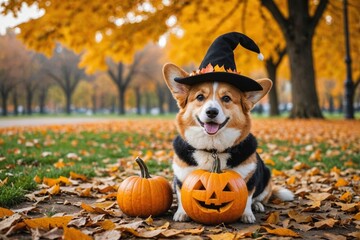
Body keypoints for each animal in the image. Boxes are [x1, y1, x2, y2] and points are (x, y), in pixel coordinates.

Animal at [163, 63, 292, 223]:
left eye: (226, 98)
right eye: (200, 97)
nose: (212, 111)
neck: (213, 149)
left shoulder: (249, 179)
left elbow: (248, 197)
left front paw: (247, 214)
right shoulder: (181, 177)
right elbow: (181, 195)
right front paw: (181, 213)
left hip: (266, 178)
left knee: (261, 197)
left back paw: (257, 206)